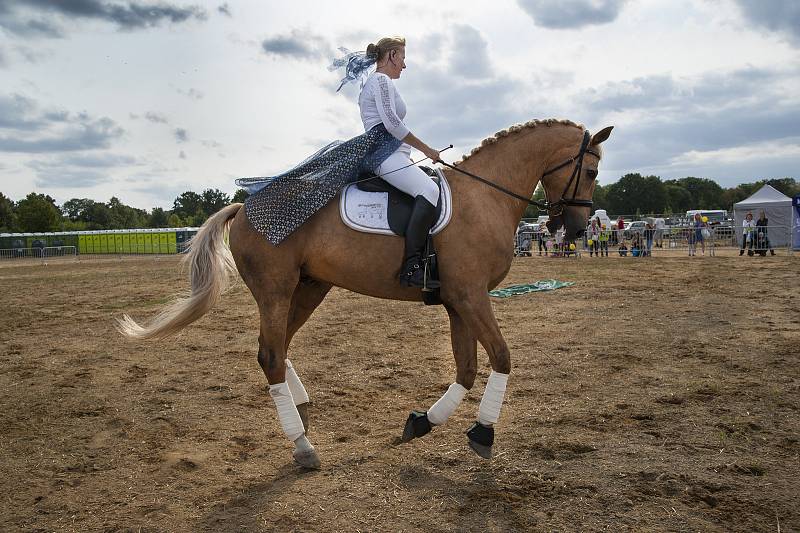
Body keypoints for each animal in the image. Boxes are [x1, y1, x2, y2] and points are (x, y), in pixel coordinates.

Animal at [119, 119, 612, 466]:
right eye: (590, 170)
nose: (575, 229)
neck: (483, 197)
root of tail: (244, 207)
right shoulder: (471, 297)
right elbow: (503, 358)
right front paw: (483, 433)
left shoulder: (458, 302)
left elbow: (468, 369)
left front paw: (422, 422)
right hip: (277, 290)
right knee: (270, 354)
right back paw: (302, 445)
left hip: (310, 287)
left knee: (277, 345)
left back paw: (300, 408)